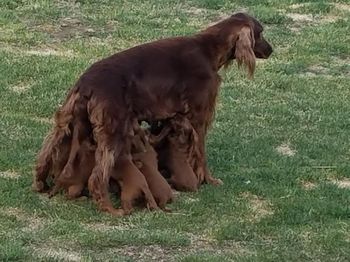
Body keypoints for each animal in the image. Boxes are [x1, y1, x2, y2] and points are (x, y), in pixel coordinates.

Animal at [32, 11, 274, 215]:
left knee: (45, 154)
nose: (271, 50)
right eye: (260, 33)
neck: (209, 49)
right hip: (113, 130)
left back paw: (40, 184)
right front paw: (208, 180)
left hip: (67, 122)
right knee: (97, 176)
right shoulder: (199, 118)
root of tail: (86, 84)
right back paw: (110, 208)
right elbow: (200, 154)